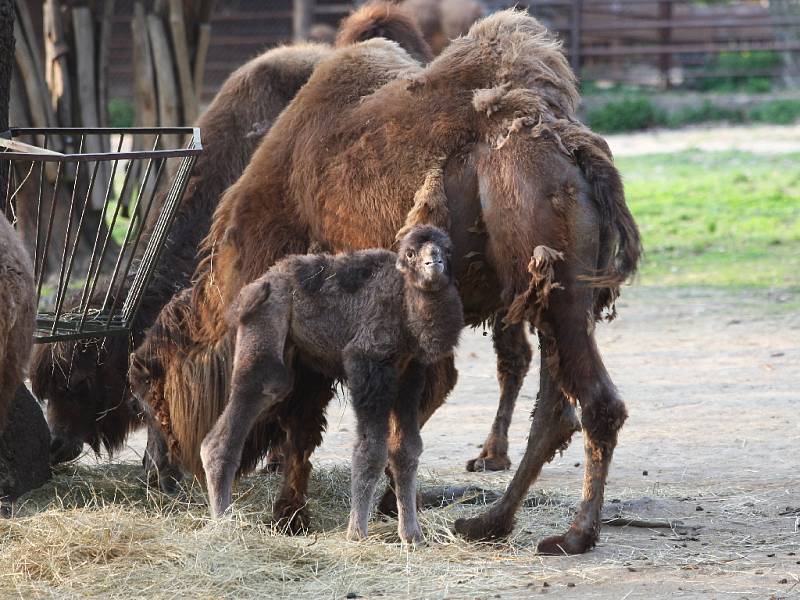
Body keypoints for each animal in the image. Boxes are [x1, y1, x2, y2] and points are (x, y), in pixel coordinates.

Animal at [134, 9, 640, 552]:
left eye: (150, 398)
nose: (156, 472)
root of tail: (577, 153)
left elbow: (304, 417)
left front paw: (290, 514)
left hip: (552, 286)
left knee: (596, 402)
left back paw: (573, 534)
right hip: (553, 295)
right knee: (555, 407)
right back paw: (488, 522)